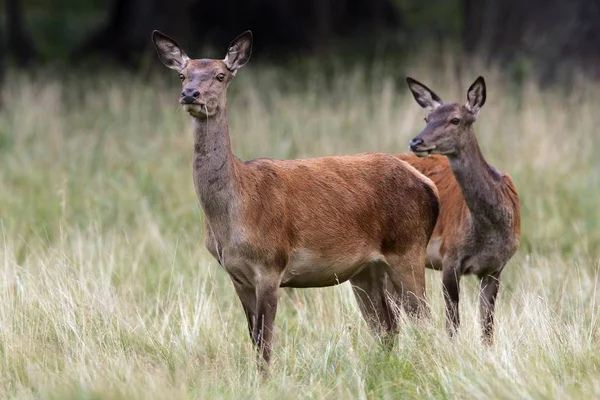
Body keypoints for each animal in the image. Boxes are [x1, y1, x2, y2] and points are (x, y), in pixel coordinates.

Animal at [150, 30, 440, 368]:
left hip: (407, 248)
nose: (190, 94)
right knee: (388, 326)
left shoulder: (271, 264)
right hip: (365, 269)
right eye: (182, 75)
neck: (232, 215)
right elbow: (253, 338)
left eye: (221, 76)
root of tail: (428, 186)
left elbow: (265, 341)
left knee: (423, 320)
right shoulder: (237, 275)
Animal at [398, 76, 520, 346]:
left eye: (455, 120)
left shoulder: (496, 268)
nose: (416, 142)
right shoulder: (449, 257)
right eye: (427, 118)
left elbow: (487, 328)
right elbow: (452, 325)